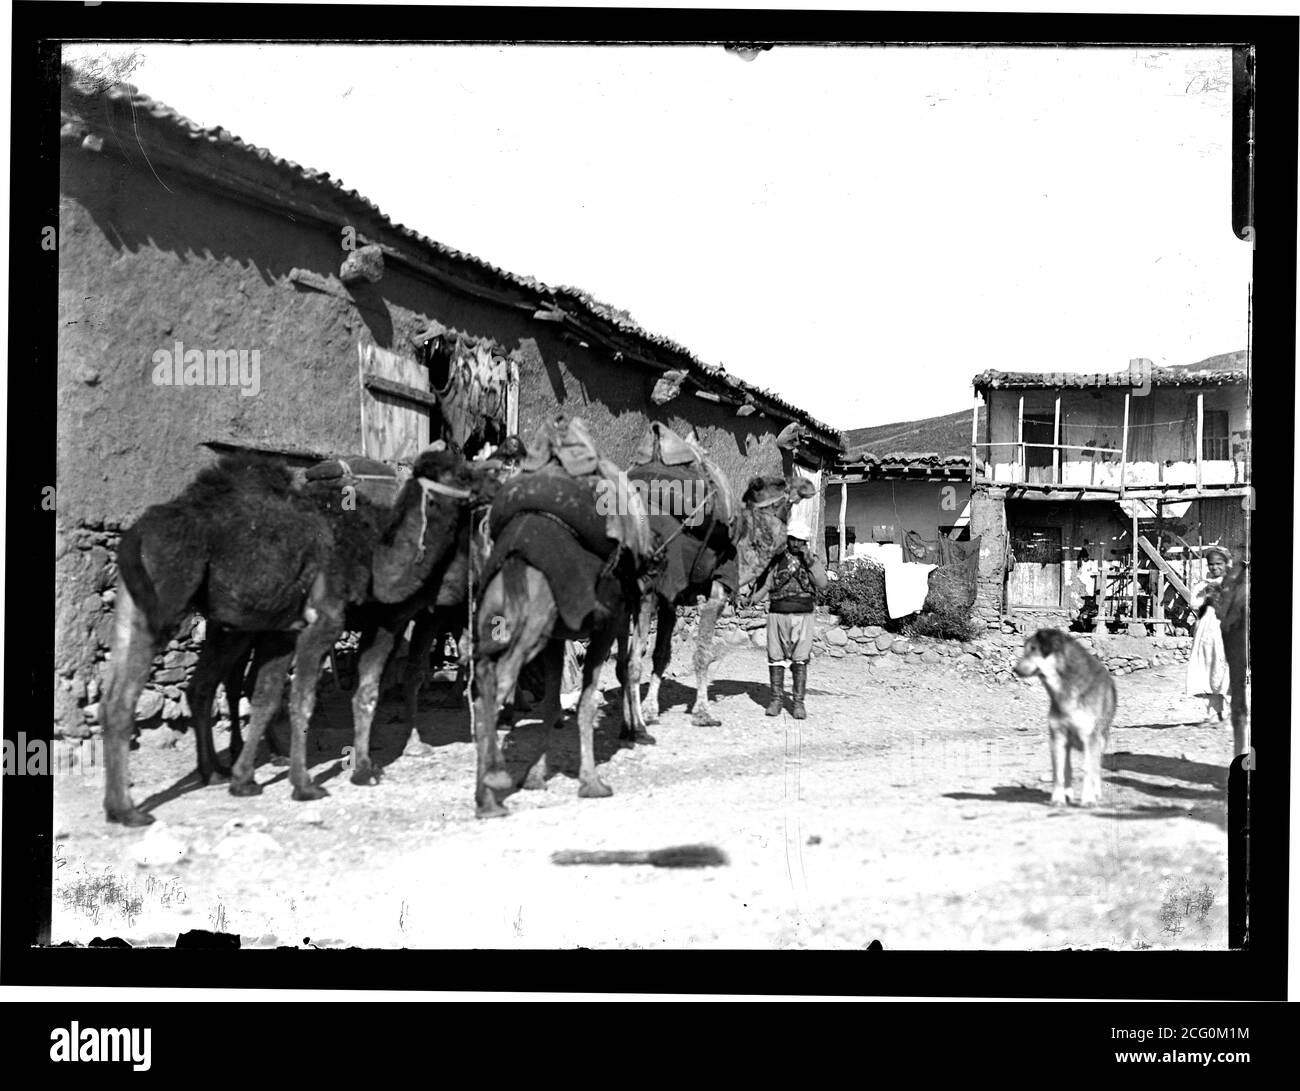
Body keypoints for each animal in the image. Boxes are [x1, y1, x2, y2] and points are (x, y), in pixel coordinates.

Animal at [101, 447, 491, 821]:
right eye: (460, 473)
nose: (487, 484)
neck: (375, 554)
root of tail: (135, 535)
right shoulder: (332, 621)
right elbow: (309, 699)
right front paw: (311, 783)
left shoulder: (297, 630)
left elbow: (276, 696)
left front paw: (249, 779)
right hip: (169, 602)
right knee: (132, 698)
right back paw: (129, 810)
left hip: (150, 611)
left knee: (194, 686)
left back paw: (210, 773)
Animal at [1013, 626, 1118, 806]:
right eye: (1025, 650)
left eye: (1033, 649)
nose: (1015, 669)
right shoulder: (1057, 735)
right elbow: (1059, 771)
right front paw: (1057, 799)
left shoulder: (1090, 737)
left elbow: (1088, 769)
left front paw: (1088, 799)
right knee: (1068, 767)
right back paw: (1068, 793)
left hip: (1101, 739)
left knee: (1096, 766)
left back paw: (1096, 793)